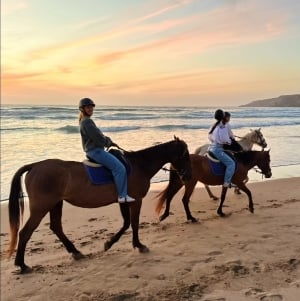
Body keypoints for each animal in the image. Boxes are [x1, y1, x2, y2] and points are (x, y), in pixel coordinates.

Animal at [7, 137, 192, 274]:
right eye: (185, 155)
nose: (188, 176)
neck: (139, 165)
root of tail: (34, 166)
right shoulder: (135, 200)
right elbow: (133, 223)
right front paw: (138, 245)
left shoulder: (124, 200)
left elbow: (126, 223)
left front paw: (109, 243)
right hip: (41, 207)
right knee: (25, 232)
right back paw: (22, 265)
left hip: (55, 204)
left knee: (56, 227)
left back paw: (75, 252)